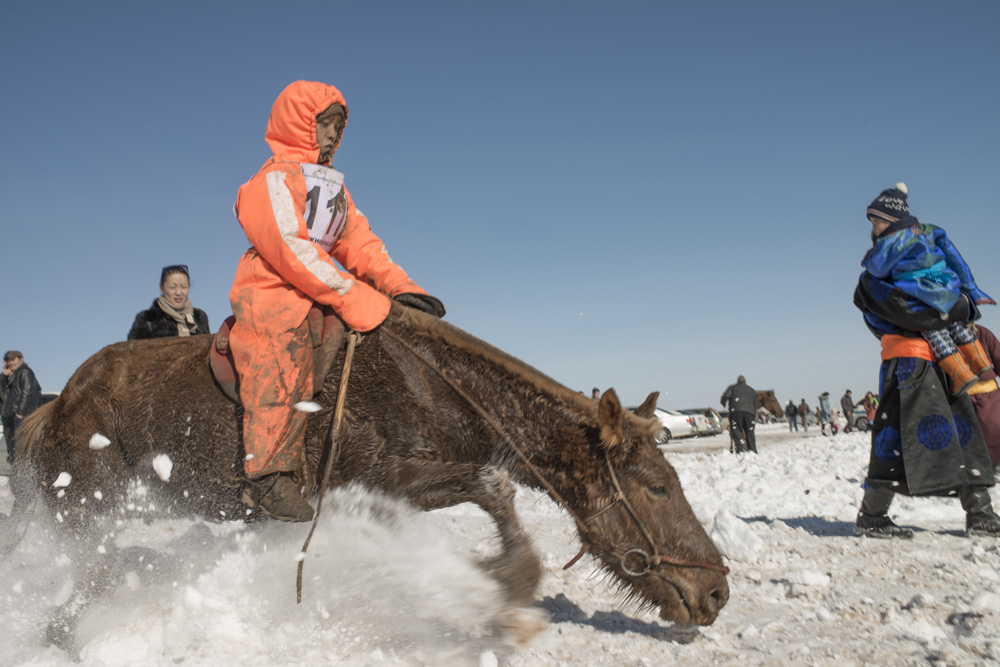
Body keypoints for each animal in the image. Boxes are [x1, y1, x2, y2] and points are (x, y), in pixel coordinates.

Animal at [6, 303, 729, 647]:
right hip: (88, 515)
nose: (716, 592)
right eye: (657, 485)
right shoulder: (381, 478)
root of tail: (49, 410)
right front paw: (505, 589)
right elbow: (493, 487)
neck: (434, 385)